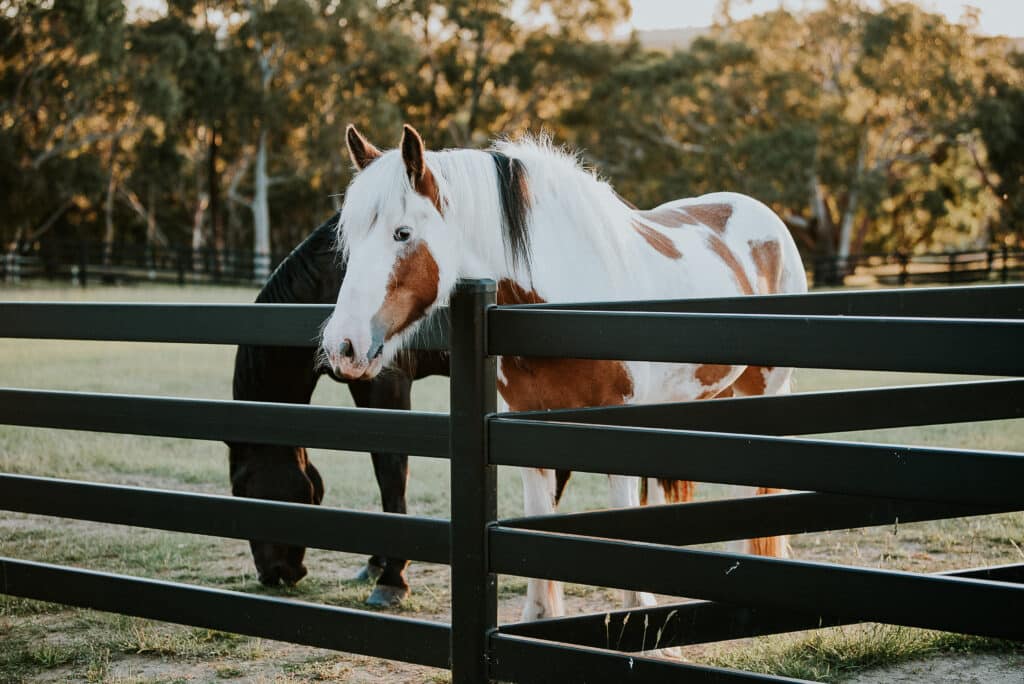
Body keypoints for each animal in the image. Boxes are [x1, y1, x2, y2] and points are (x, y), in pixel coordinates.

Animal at [230, 214, 446, 602]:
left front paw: (392, 579)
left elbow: (392, 472)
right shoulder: (361, 385)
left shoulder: (387, 382)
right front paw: (377, 563)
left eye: (241, 488)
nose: (272, 574)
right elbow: (379, 468)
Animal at [319, 122, 806, 618]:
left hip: (761, 394)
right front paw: (539, 617)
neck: (563, 309)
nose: (343, 346)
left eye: (402, 233)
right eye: (350, 238)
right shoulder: (524, 426)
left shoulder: (615, 426)